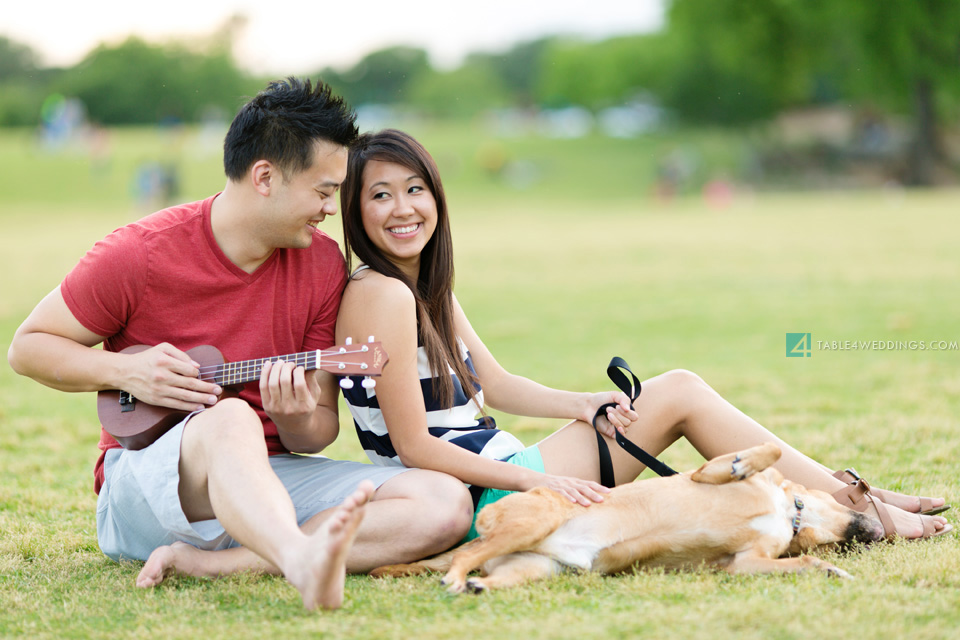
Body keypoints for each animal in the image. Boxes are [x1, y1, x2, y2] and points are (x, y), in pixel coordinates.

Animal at [374, 442, 884, 592]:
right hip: (531, 521)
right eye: (853, 503)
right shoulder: (705, 472)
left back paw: (477, 586)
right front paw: (744, 463)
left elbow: (805, 561)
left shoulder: (744, 563)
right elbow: (765, 452)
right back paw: (457, 578)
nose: (879, 531)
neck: (788, 513)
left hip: (534, 567)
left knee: (488, 572)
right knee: (467, 555)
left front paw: (831, 569)